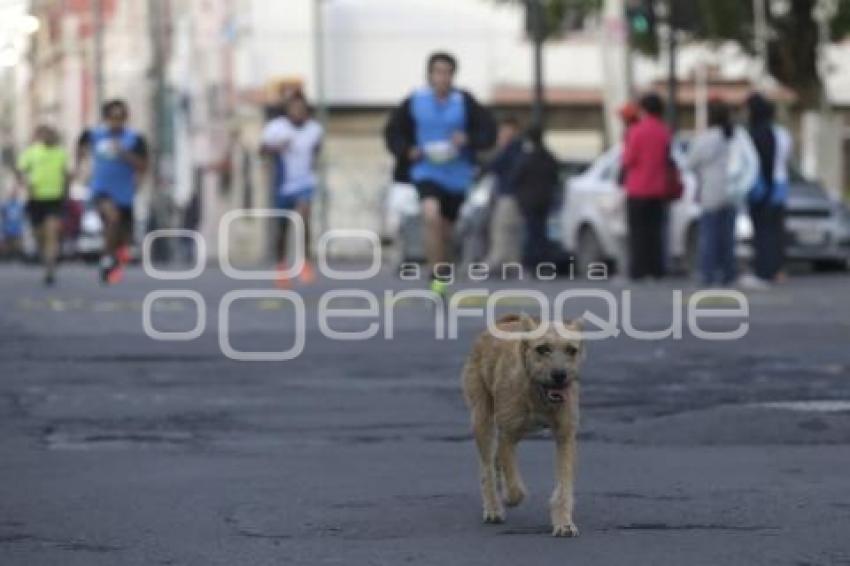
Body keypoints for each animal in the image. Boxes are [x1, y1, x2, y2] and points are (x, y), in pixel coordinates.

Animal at [458, 318, 584, 540]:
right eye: (542, 349)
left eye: (571, 350)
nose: (560, 375)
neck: (537, 392)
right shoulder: (507, 434)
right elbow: (513, 481)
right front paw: (510, 497)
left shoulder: (565, 436)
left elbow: (564, 484)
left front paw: (564, 523)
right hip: (482, 420)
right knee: (487, 468)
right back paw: (493, 508)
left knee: (495, 461)